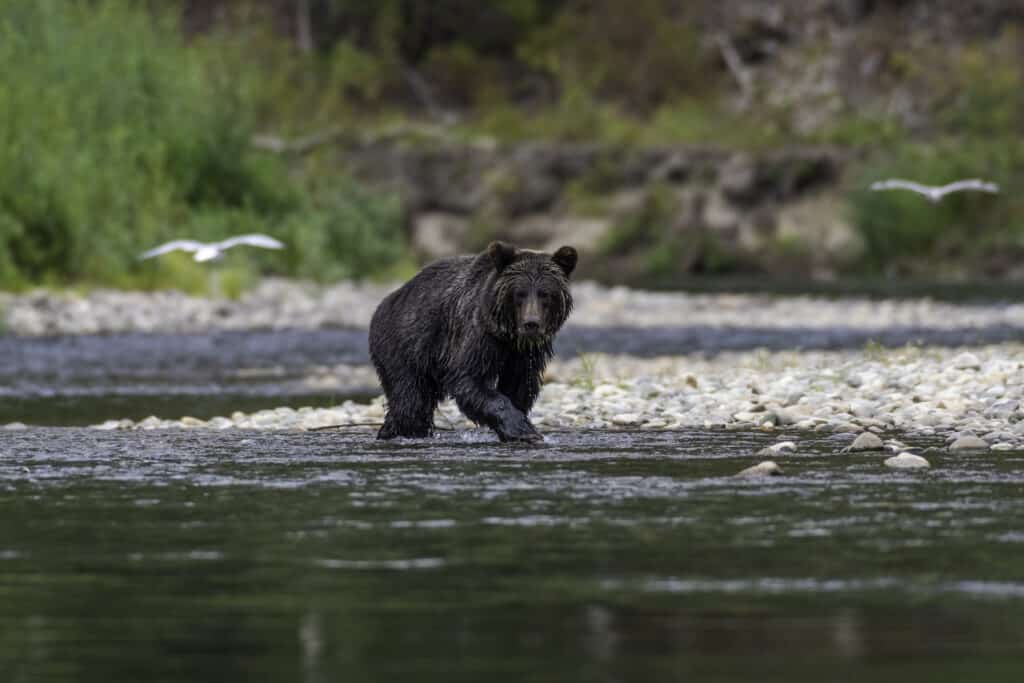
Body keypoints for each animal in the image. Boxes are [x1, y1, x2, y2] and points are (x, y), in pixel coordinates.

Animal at [368, 241, 577, 444]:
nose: (531, 323)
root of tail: (386, 302)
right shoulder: (476, 335)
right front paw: (524, 431)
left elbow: (519, 386)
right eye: (520, 293)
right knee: (410, 403)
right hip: (404, 346)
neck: (508, 337)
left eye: (545, 294)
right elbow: (468, 378)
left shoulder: (525, 354)